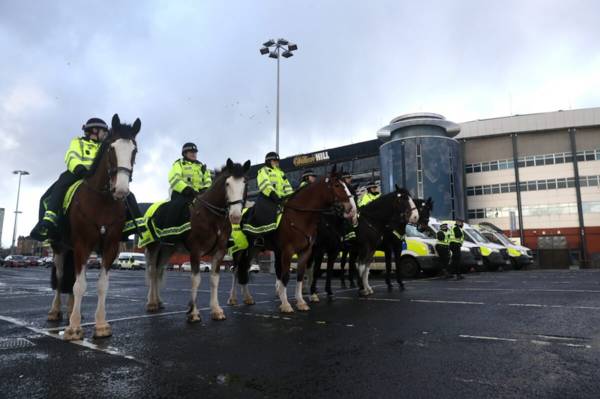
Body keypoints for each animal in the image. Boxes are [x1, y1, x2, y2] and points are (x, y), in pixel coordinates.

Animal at [48, 114, 141, 342]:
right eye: (111, 148)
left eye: (134, 151)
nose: (121, 189)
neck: (103, 202)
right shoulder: (82, 244)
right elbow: (80, 285)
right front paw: (73, 328)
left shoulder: (111, 246)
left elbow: (101, 286)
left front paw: (100, 325)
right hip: (60, 248)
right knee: (61, 278)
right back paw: (56, 311)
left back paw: (72, 310)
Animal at [145, 158, 251, 324]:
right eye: (227, 184)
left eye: (245, 183)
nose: (235, 216)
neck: (211, 217)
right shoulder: (195, 251)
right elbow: (196, 279)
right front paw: (193, 312)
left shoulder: (219, 252)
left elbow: (214, 279)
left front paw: (216, 310)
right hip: (154, 247)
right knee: (152, 271)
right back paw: (151, 303)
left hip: (168, 249)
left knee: (159, 270)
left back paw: (159, 301)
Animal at [229, 166, 354, 312]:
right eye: (337, 185)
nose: (351, 208)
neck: (299, 217)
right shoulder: (288, 251)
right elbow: (285, 276)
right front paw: (286, 304)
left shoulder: (306, 252)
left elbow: (300, 275)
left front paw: (301, 301)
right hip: (239, 250)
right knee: (236, 270)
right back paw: (232, 298)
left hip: (253, 249)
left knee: (244, 269)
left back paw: (248, 298)